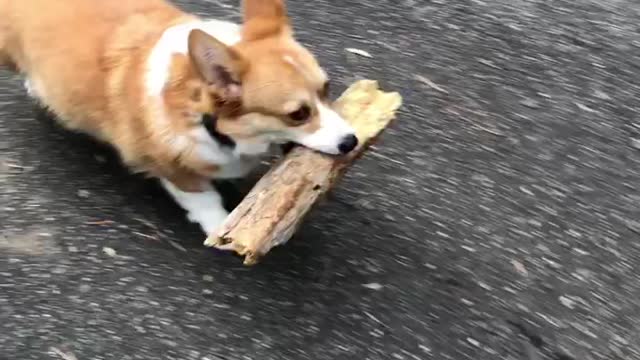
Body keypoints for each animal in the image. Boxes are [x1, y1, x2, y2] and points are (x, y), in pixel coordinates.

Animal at [0, 0, 360, 235]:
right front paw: (220, 227)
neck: (203, 115)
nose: (352, 141)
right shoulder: (172, 167)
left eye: (327, 88)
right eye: (297, 114)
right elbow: (203, 199)